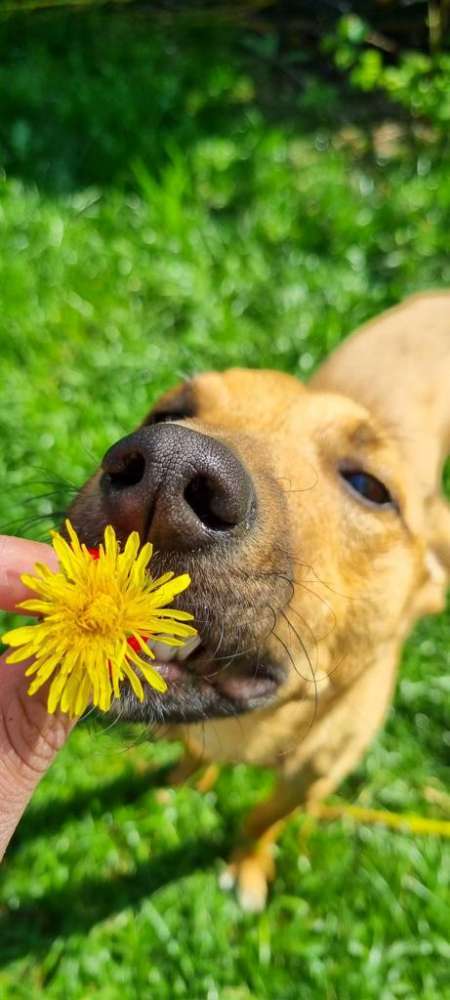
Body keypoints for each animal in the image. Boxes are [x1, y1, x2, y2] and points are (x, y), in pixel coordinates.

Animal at [70, 292, 450, 912]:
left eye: (370, 487)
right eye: (167, 414)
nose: (167, 469)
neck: (249, 730)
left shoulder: (310, 777)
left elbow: (263, 819)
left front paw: (247, 865)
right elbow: (194, 753)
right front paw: (182, 783)